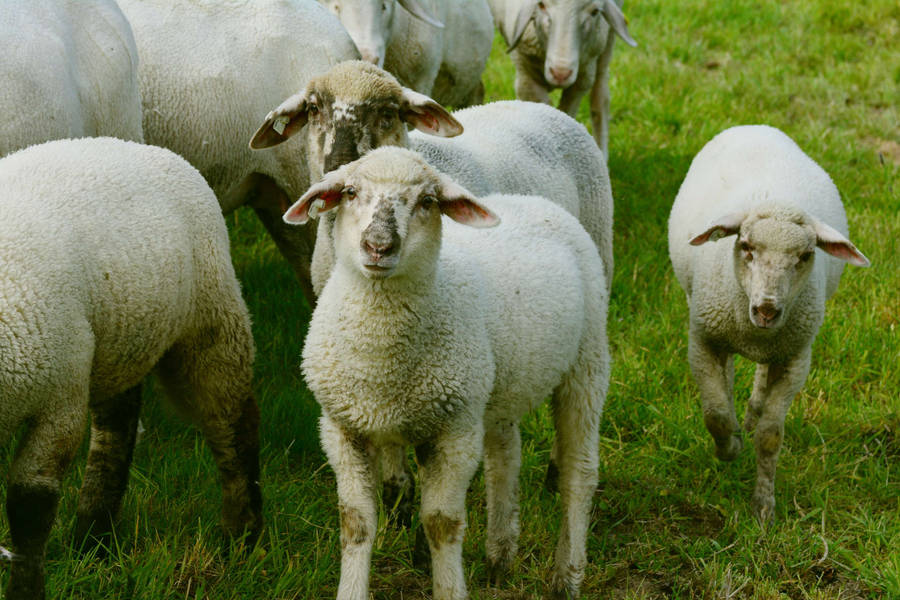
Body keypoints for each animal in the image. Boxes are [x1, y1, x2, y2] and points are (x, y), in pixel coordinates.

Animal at [0, 137, 261, 600]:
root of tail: (140, 146)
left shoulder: (59, 402)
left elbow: (30, 505)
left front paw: (25, 591)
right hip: (120, 337)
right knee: (117, 429)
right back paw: (93, 536)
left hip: (210, 317)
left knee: (233, 421)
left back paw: (241, 536)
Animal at [288, 146, 610, 600]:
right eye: (350, 192)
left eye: (427, 201)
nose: (378, 246)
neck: (381, 364)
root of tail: (536, 202)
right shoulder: (342, 428)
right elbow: (356, 521)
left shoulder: (454, 431)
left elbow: (441, 524)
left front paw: (448, 586)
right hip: (496, 386)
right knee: (505, 456)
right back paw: (500, 554)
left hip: (587, 360)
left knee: (579, 472)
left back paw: (566, 577)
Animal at [488, 0, 637, 156]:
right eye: (541, 5)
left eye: (595, 11)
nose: (560, 73)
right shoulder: (526, 76)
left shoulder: (583, 76)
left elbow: (566, 114)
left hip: (606, 40)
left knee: (600, 95)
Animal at [667, 125, 870, 523]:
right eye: (745, 245)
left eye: (805, 255)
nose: (767, 310)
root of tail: (757, 126)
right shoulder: (702, 341)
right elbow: (714, 414)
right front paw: (728, 447)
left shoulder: (795, 359)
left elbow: (770, 436)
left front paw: (763, 506)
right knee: (728, 377)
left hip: (780, 344)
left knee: (760, 377)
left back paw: (751, 412)